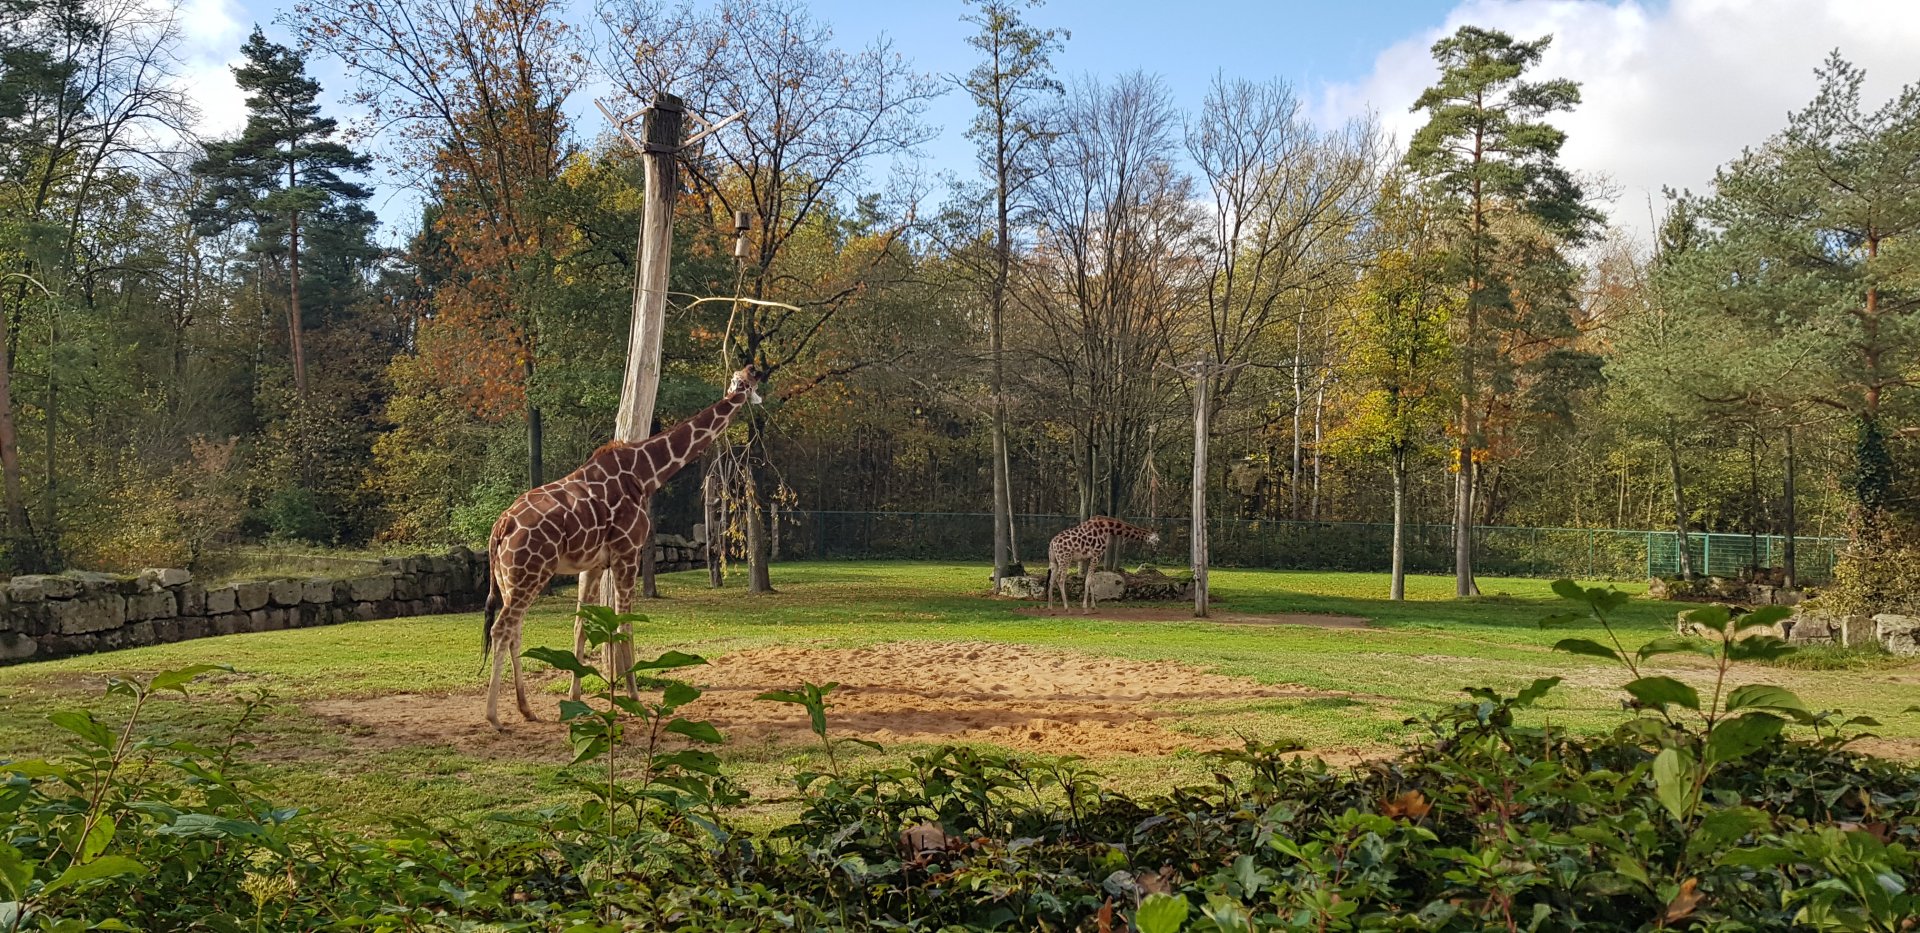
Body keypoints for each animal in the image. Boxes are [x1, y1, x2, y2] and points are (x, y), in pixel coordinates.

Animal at [480, 367, 761, 729]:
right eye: (750, 382)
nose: (757, 398)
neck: (645, 473)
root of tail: (500, 527)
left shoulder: (594, 564)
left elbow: (583, 625)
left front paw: (577, 698)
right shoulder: (628, 553)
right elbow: (625, 624)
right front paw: (634, 699)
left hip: (508, 578)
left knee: (514, 630)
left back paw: (526, 709)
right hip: (531, 573)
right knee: (502, 628)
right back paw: (494, 716)